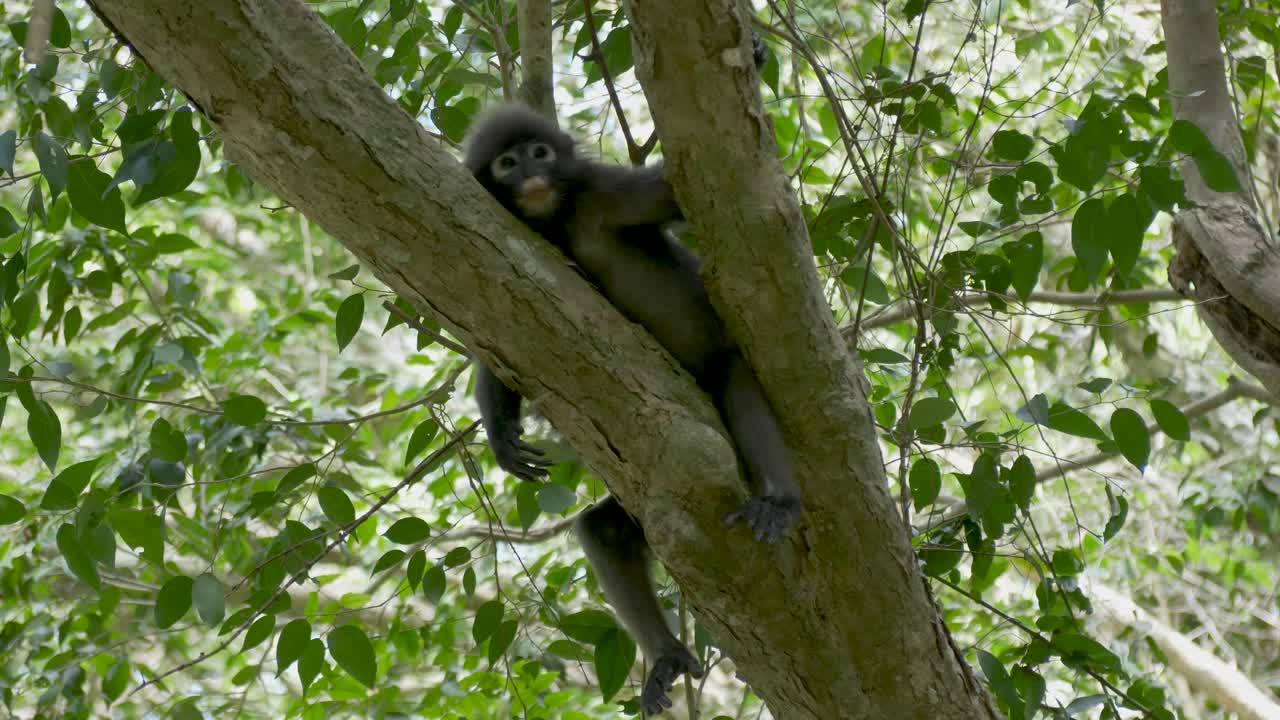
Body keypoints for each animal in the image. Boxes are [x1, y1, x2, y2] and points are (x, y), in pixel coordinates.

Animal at [465, 41, 796, 717]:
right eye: (507, 163)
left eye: (540, 154)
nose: (531, 175)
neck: (559, 218)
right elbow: (497, 334)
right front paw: (500, 432)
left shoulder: (605, 191)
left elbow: (680, 190)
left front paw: (753, 55)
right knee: (607, 530)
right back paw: (665, 655)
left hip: (721, 381)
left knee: (738, 385)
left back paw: (777, 499)